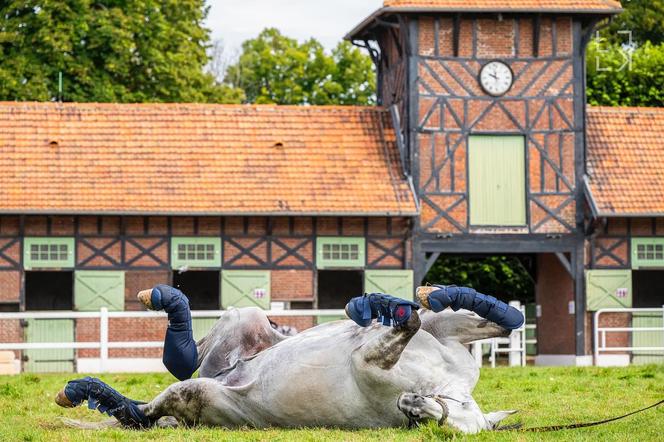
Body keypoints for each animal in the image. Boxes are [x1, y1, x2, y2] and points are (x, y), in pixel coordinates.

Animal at [55, 284, 524, 434]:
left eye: (435, 423)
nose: (409, 402)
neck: (441, 383)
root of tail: (226, 376)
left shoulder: (369, 362)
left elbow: (409, 323)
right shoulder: (442, 336)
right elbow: (501, 322)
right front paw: (378, 303)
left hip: (199, 393)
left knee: (143, 412)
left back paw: (82, 390)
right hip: (246, 321)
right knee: (187, 358)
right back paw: (161, 296)